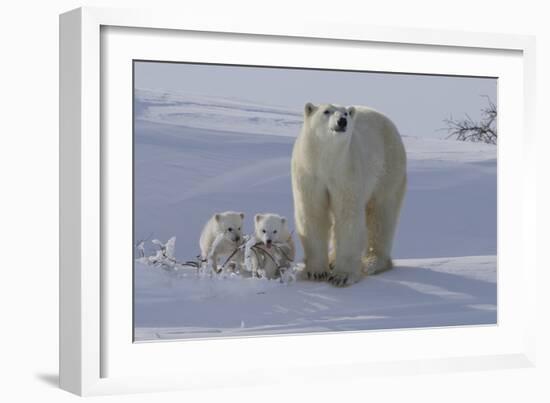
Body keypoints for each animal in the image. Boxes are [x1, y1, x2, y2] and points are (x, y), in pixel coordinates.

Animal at [292, 104, 408, 288]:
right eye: (326, 111)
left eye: (345, 113)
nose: (342, 121)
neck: (327, 161)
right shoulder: (309, 173)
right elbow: (313, 213)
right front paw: (316, 272)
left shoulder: (346, 172)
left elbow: (348, 215)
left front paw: (342, 276)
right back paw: (332, 260)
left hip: (388, 167)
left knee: (381, 214)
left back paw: (372, 262)